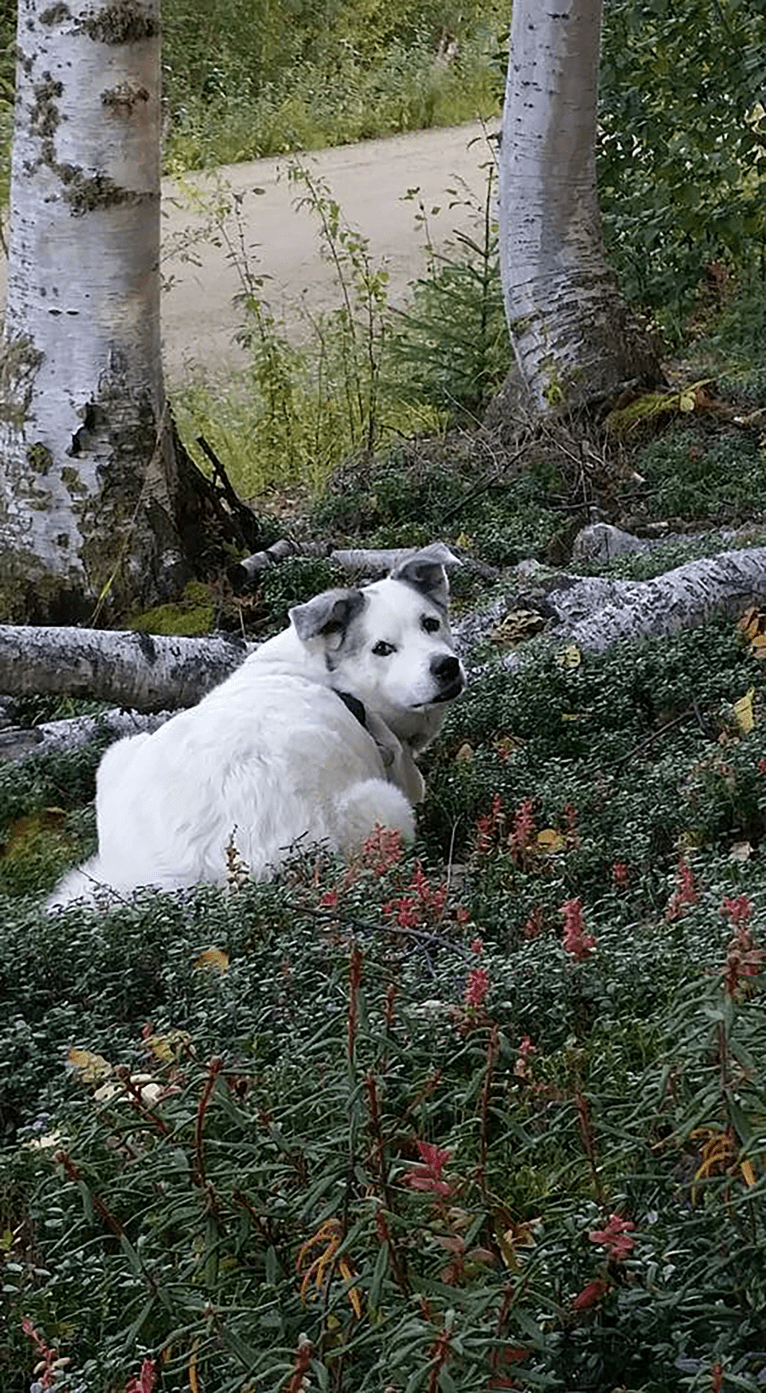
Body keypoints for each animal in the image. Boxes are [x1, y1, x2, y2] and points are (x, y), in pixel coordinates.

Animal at [48, 543, 467, 913]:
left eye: (431, 624)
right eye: (382, 649)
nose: (446, 667)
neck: (332, 679)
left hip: (120, 753)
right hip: (379, 806)